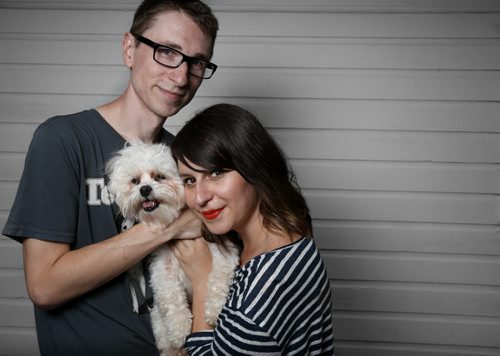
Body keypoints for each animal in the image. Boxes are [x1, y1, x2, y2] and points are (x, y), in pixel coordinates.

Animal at [105, 141, 238, 354]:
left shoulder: (225, 254)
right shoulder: (162, 269)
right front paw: (179, 329)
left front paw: (215, 309)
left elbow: (219, 279)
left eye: (159, 176)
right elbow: (171, 297)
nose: (144, 189)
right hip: (158, 323)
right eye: (135, 181)